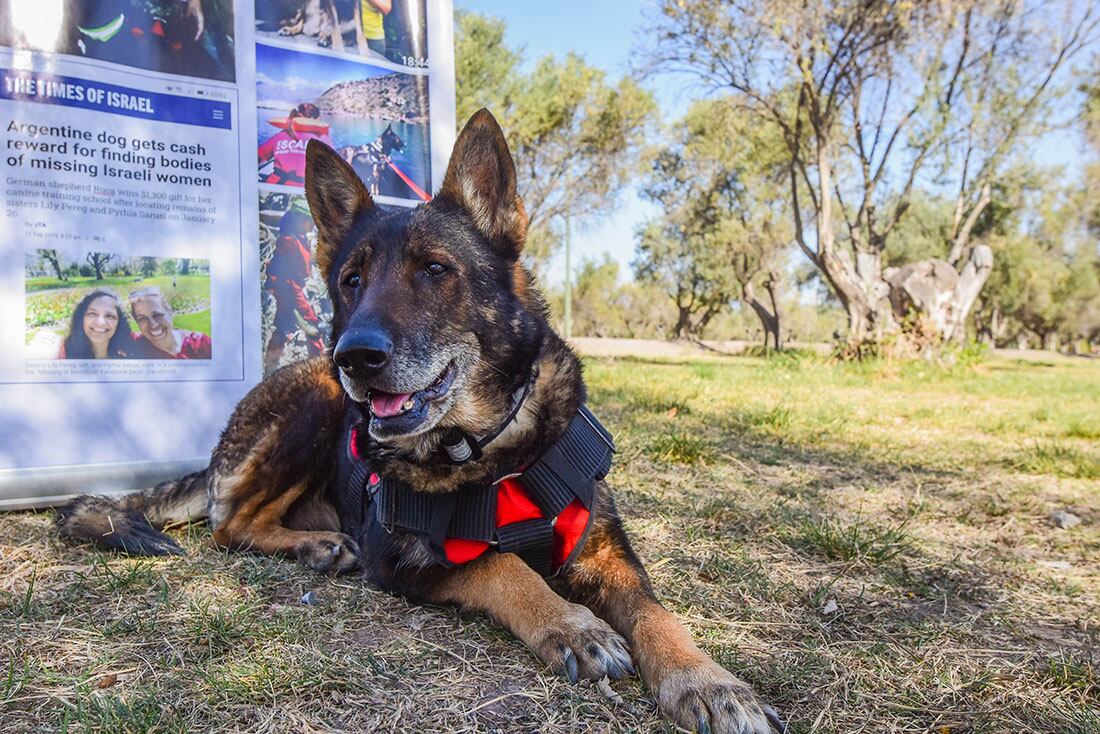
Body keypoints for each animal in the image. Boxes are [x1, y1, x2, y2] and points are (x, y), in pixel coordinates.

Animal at [58, 108, 783, 734]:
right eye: (351, 280)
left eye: (435, 269)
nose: (356, 358)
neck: (492, 449)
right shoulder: (403, 559)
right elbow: (503, 568)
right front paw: (572, 624)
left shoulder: (608, 553)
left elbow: (661, 616)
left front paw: (710, 683)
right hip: (315, 404)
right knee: (227, 524)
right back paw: (315, 545)